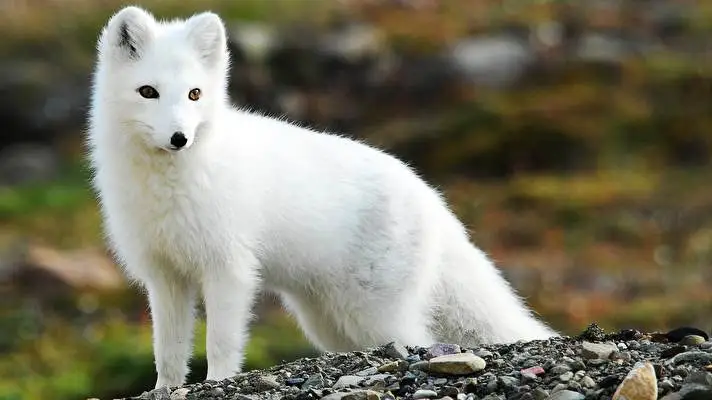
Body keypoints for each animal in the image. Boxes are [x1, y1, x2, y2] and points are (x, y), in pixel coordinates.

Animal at [87, 6, 558, 390]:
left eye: (194, 94)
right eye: (148, 91)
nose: (179, 138)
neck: (166, 185)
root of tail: (430, 196)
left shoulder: (228, 268)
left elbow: (220, 343)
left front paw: (217, 381)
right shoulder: (164, 275)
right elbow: (167, 351)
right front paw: (164, 389)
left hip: (374, 313)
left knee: (419, 341)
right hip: (327, 320)